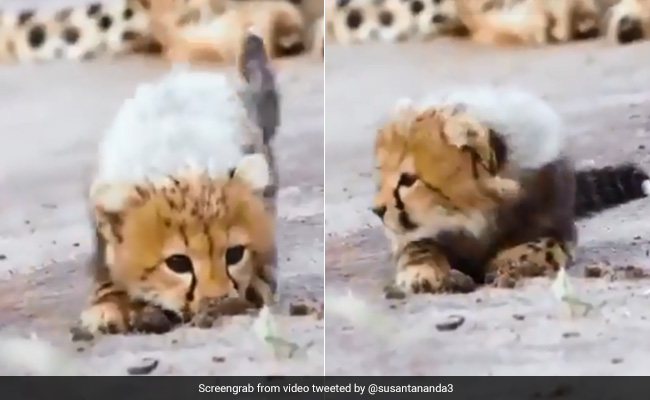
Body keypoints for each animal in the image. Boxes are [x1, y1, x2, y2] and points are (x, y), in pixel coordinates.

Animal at [372, 86, 650, 294]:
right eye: (381, 177)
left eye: (409, 179)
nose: (376, 210)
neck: (476, 216)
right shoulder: (420, 234)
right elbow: (418, 248)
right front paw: (421, 273)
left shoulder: (560, 227)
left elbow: (543, 244)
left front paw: (507, 262)